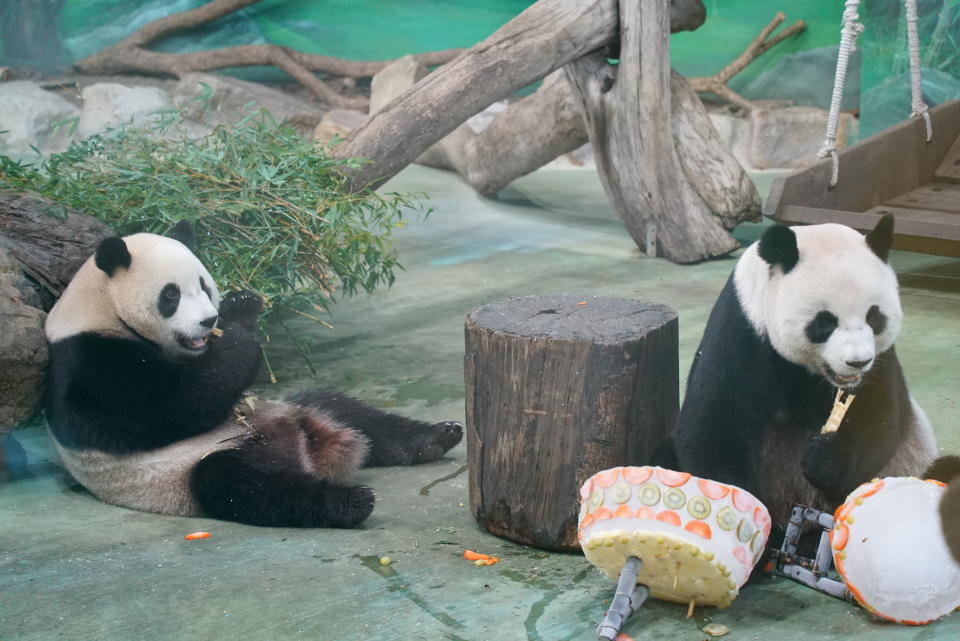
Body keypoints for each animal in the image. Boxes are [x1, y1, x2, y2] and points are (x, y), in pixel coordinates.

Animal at [43, 222, 464, 528]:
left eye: (203, 285)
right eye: (171, 295)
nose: (208, 320)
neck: (101, 308)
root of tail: (304, 452)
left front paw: (242, 303)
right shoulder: (90, 363)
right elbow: (173, 406)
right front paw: (241, 329)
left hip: (287, 408)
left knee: (345, 410)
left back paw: (435, 437)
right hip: (183, 475)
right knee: (242, 485)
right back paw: (350, 502)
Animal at [660, 218, 936, 528]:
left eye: (873, 316)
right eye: (825, 321)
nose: (857, 362)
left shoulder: (882, 359)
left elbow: (881, 416)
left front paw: (824, 459)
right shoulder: (742, 328)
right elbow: (714, 424)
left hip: (913, 460)